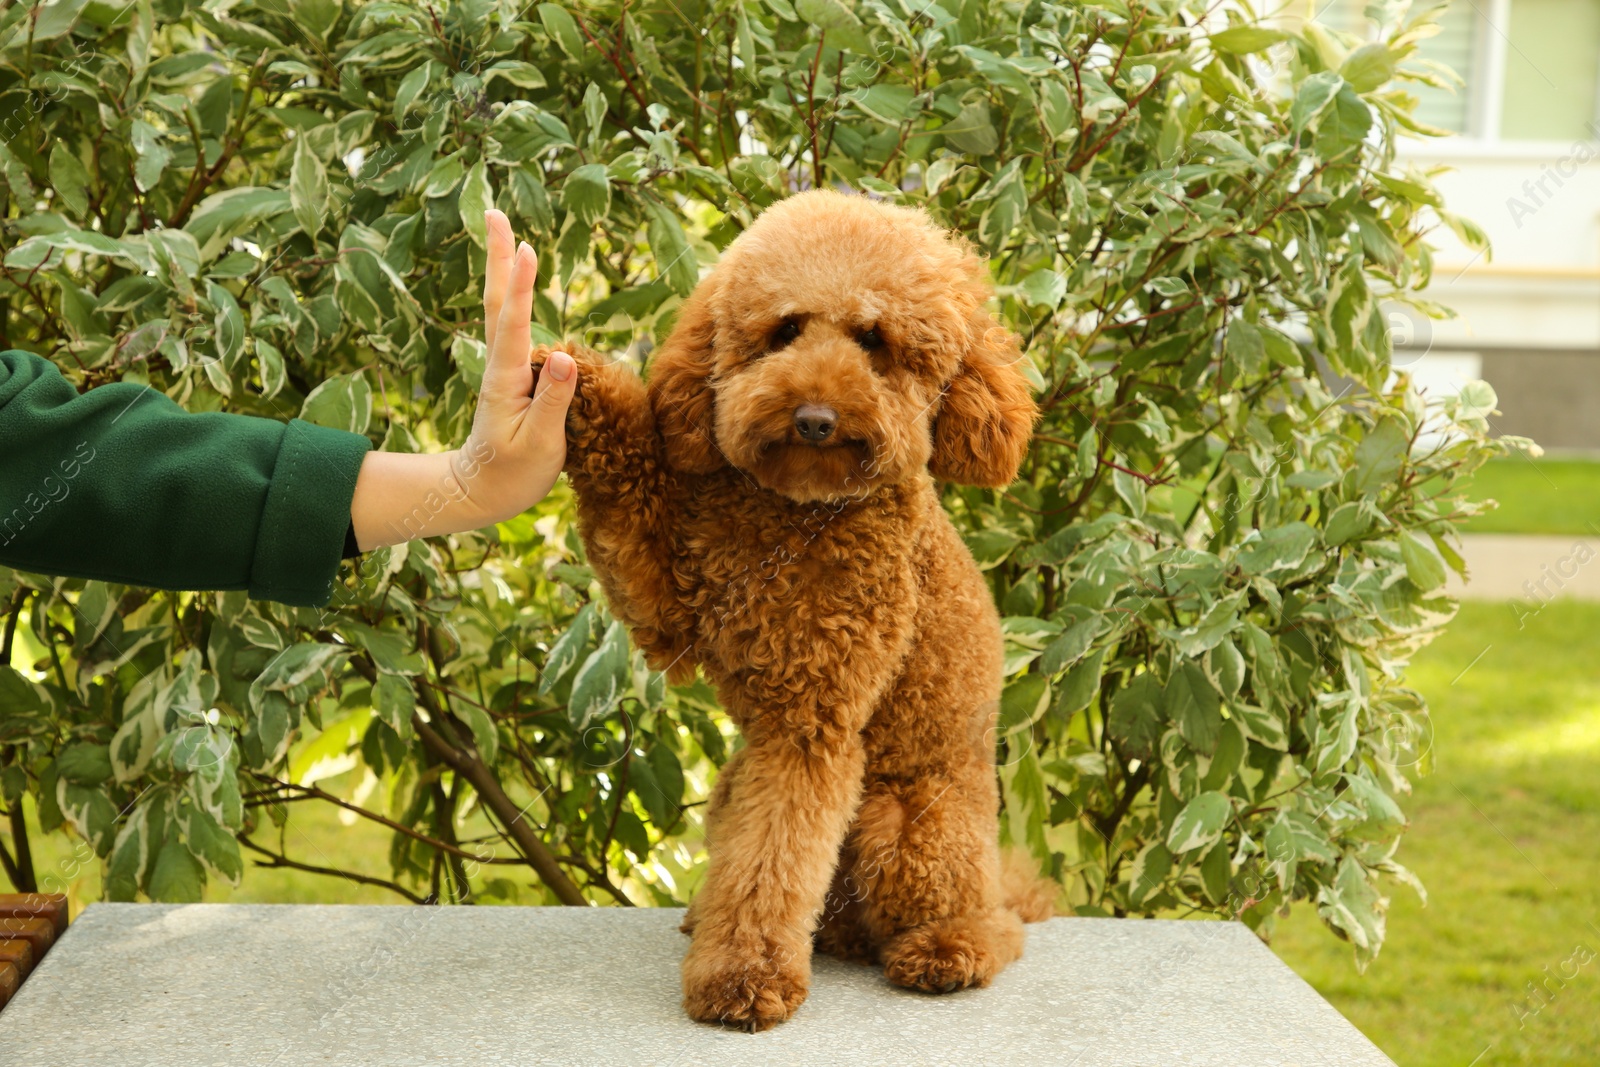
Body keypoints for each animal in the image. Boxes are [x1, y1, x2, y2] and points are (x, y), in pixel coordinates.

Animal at [540, 187, 1049, 1030]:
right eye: (783, 330)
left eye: (876, 341)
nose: (815, 417)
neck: (794, 518)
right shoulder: (674, 602)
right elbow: (625, 487)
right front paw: (576, 382)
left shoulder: (811, 720)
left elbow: (773, 855)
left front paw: (743, 976)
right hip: (730, 788)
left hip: (910, 825)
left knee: (994, 922)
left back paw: (946, 949)